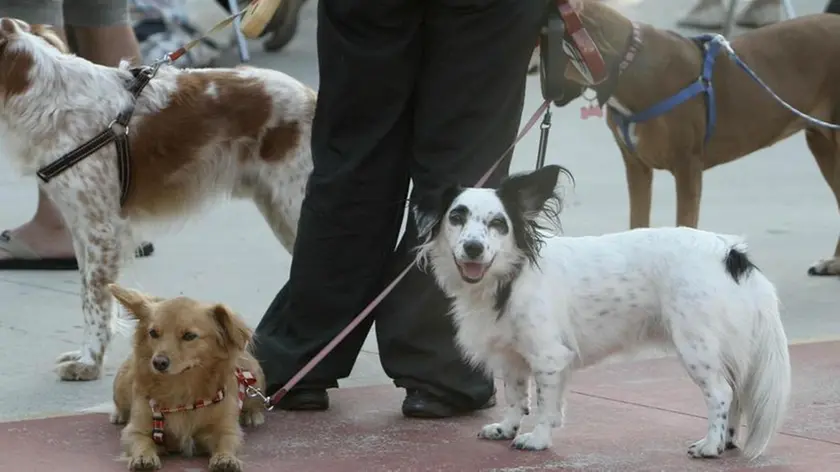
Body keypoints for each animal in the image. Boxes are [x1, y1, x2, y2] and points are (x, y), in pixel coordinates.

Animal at [0, 17, 314, 384]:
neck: (46, 95)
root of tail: (311, 95)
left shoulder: (100, 231)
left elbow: (94, 301)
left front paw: (89, 362)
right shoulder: (82, 227)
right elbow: (92, 298)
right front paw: (86, 356)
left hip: (296, 205)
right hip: (280, 211)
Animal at [108, 284, 266, 472]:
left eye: (189, 336)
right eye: (153, 333)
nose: (158, 362)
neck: (181, 388)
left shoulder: (227, 429)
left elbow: (226, 442)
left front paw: (225, 458)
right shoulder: (136, 430)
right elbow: (142, 442)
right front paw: (143, 457)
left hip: (254, 377)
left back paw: (253, 415)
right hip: (121, 384)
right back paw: (119, 414)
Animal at [416, 167, 796, 460]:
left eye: (498, 223)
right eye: (456, 217)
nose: (473, 248)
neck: (510, 276)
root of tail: (731, 252)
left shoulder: (549, 358)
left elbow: (543, 405)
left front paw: (537, 439)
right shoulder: (514, 358)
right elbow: (515, 397)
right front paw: (507, 428)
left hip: (696, 346)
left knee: (721, 393)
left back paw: (711, 445)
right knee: (737, 394)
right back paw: (728, 440)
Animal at [540, 0, 840, 276]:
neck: (629, 66)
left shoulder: (687, 167)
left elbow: (685, 221)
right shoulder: (636, 167)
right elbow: (638, 220)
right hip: (822, 144)